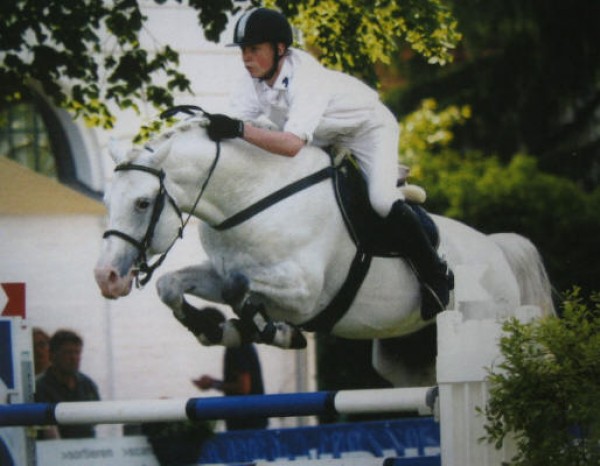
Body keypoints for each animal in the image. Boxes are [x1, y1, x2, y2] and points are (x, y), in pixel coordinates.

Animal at [96, 114, 556, 388]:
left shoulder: (304, 292)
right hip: (406, 359)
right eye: (106, 199)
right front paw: (216, 329)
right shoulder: (219, 270)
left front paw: (269, 331)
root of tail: (497, 251)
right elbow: (173, 286)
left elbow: (240, 290)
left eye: (142, 203)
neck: (252, 199)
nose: (107, 278)